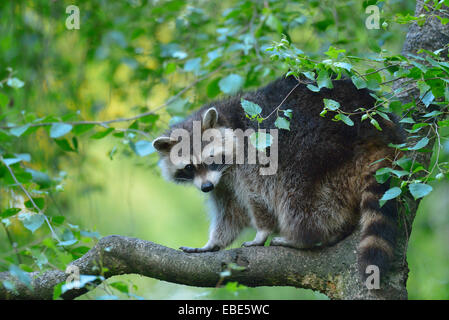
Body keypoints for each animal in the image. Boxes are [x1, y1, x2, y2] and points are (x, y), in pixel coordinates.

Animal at [153, 75, 402, 280]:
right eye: (189, 168)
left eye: (211, 158)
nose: (205, 187)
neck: (228, 120)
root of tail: (376, 129)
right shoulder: (222, 182)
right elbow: (230, 211)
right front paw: (213, 242)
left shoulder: (251, 157)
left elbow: (258, 196)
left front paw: (262, 231)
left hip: (318, 148)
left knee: (298, 195)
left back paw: (307, 237)